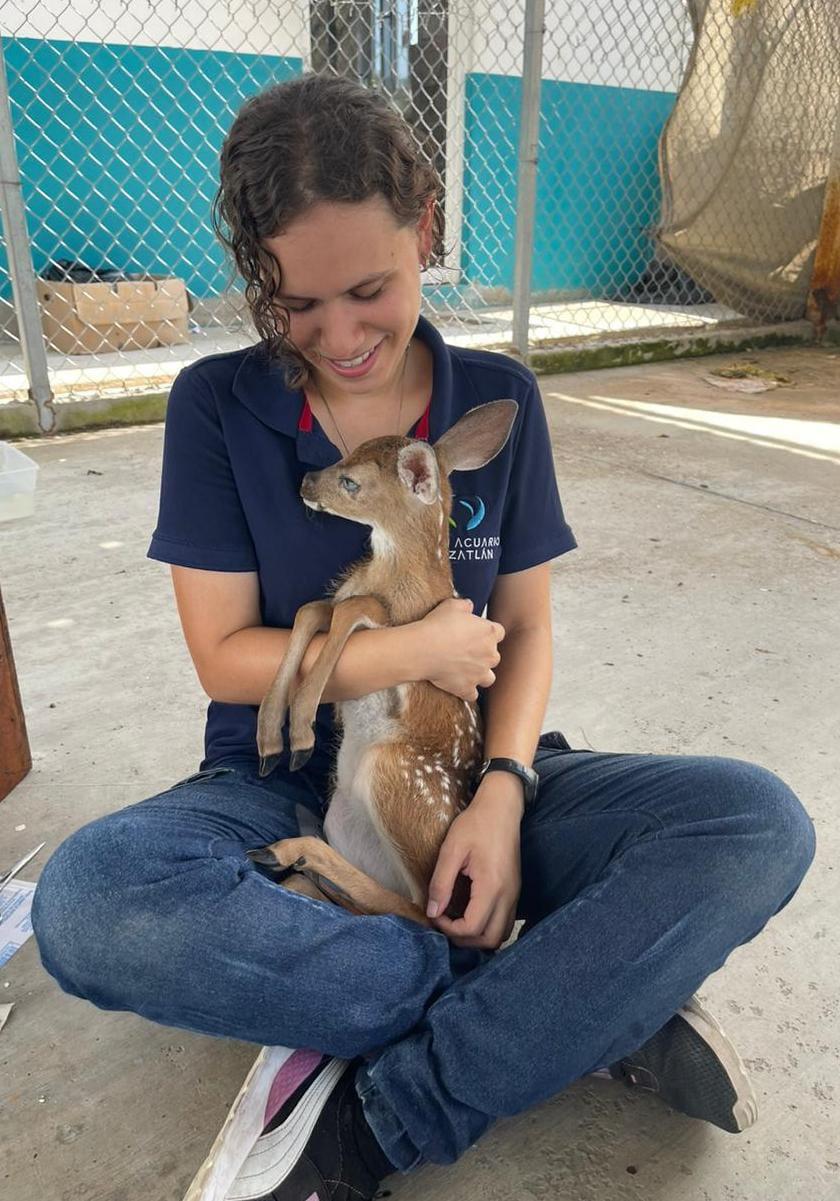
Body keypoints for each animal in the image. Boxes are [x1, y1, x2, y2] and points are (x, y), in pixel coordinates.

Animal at [247, 398, 519, 922]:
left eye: (351, 481)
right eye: (345, 454)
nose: (306, 481)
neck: (392, 574)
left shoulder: (400, 623)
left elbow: (353, 609)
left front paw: (302, 731)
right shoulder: (338, 603)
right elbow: (312, 610)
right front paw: (272, 737)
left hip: (395, 773)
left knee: (419, 912)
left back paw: (287, 852)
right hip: (345, 811)